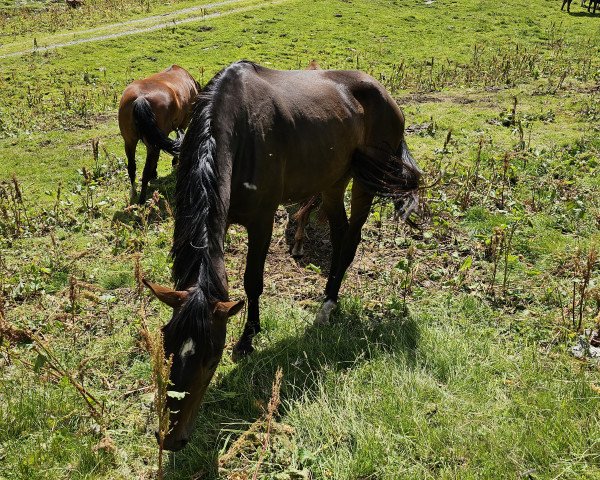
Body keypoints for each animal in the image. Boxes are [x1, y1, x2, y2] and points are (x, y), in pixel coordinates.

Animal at [118, 64, 199, 202]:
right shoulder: (183, 124)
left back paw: (134, 193)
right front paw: (174, 162)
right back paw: (142, 199)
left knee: (132, 168)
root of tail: (140, 99)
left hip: (129, 141)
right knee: (145, 170)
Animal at [144, 60, 422, 450]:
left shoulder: (262, 221)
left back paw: (328, 304)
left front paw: (247, 339)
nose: (170, 439)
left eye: (211, 359)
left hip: (367, 180)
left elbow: (252, 281)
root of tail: (383, 92)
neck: (237, 126)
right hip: (333, 179)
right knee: (340, 234)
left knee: (351, 238)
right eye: (166, 347)